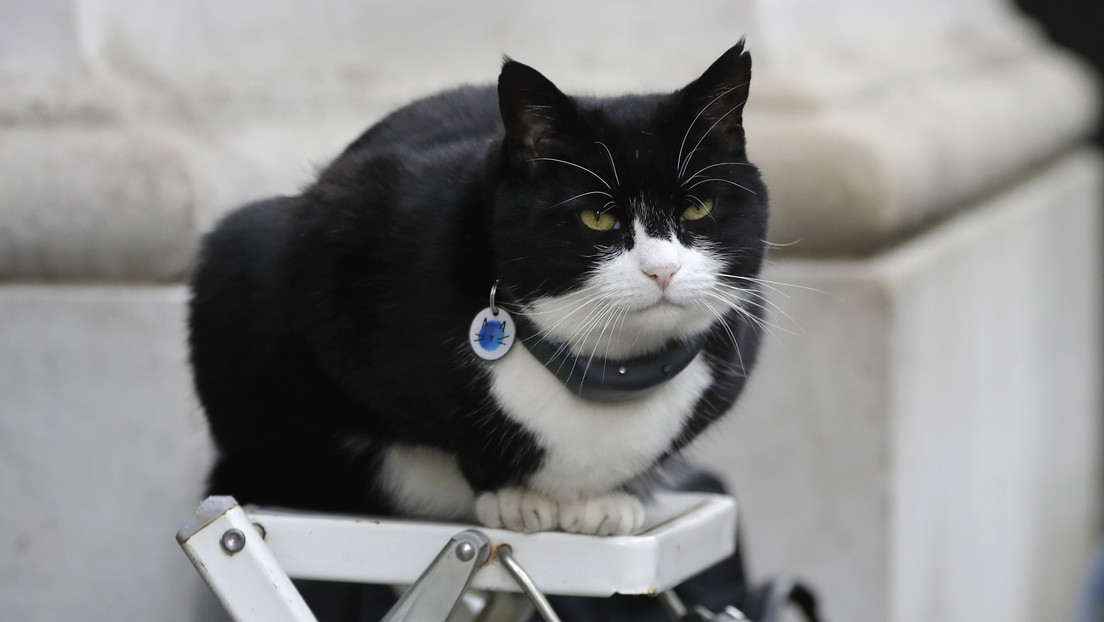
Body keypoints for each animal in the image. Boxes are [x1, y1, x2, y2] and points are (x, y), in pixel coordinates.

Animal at [187, 40, 768, 534]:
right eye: (597, 217)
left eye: (698, 207)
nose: (662, 271)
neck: (608, 366)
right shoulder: (334, 243)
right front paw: (512, 495)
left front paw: (609, 499)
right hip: (238, 247)